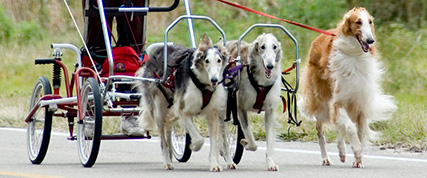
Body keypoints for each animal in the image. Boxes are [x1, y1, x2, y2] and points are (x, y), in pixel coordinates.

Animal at [137, 34, 236, 172]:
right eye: (206, 61)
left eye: (219, 60)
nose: (214, 80)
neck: (203, 84)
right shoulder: (182, 109)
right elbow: (199, 139)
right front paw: (193, 146)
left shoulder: (213, 113)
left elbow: (215, 142)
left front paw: (214, 164)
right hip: (159, 110)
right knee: (163, 140)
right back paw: (167, 162)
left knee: (168, 125)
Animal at [226, 33, 282, 171]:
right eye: (262, 46)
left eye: (274, 46)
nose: (270, 66)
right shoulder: (240, 108)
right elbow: (252, 141)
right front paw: (245, 142)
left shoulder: (270, 111)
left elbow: (270, 142)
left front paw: (271, 163)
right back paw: (229, 161)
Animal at [300, 7, 396, 168]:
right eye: (358, 22)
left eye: (370, 21)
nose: (370, 40)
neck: (355, 55)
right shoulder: (339, 101)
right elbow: (350, 128)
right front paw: (356, 151)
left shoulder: (360, 103)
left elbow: (359, 132)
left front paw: (358, 160)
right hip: (321, 102)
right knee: (321, 132)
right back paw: (326, 158)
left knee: (339, 127)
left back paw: (342, 152)